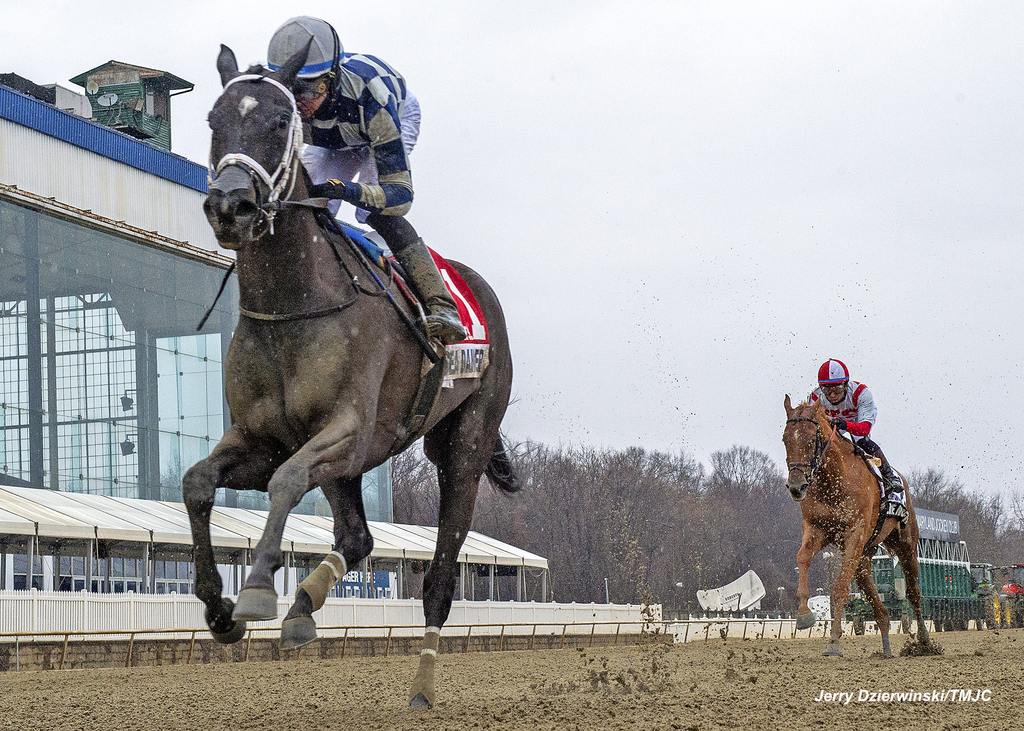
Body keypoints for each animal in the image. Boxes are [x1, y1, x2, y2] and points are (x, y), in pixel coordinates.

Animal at [184, 45, 516, 704]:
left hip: (462, 448)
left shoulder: (349, 432)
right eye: (213, 120)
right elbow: (198, 481)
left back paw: (421, 687)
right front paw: (218, 610)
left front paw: (256, 589)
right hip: (356, 466)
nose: (230, 206)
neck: (294, 306)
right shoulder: (260, 438)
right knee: (358, 538)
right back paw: (304, 606)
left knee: (439, 579)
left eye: (278, 123)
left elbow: (287, 480)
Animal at [782, 393, 929, 655]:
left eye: (812, 438)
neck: (834, 481)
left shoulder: (854, 533)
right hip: (864, 556)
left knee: (913, 592)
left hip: (905, 544)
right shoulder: (817, 529)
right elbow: (802, 557)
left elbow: (840, 587)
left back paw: (923, 640)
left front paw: (833, 641)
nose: (796, 487)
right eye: (785, 439)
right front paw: (804, 615)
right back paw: (886, 644)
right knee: (875, 598)